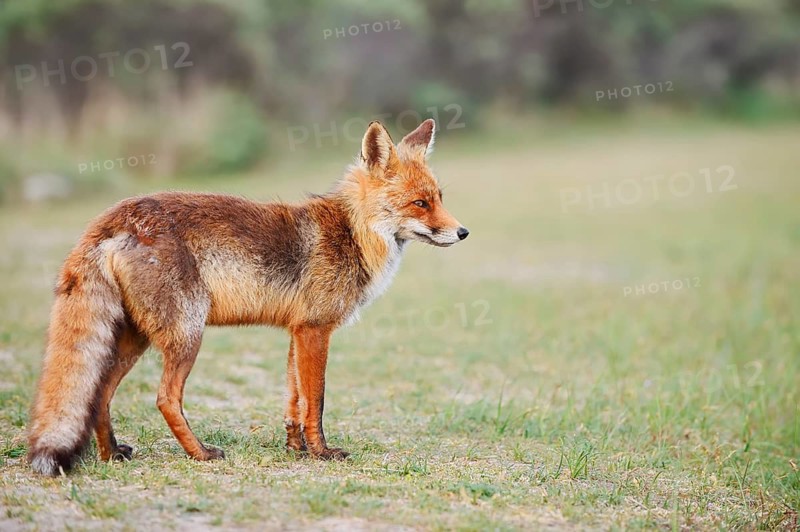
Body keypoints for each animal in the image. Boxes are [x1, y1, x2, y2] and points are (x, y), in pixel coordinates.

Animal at [27, 119, 468, 475]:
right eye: (420, 203)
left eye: (440, 198)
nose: (463, 232)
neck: (352, 234)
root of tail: (112, 216)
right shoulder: (315, 330)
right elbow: (317, 401)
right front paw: (321, 452)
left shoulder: (298, 330)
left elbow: (294, 400)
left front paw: (295, 448)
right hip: (187, 334)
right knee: (165, 399)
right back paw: (199, 454)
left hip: (136, 337)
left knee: (100, 394)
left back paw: (112, 454)